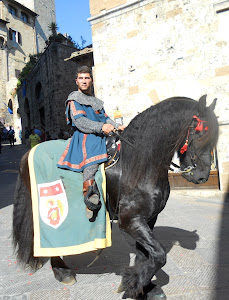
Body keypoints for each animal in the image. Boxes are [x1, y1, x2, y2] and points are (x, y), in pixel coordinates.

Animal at [13, 95, 218, 300]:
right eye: (200, 133)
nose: (202, 176)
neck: (139, 165)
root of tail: (27, 154)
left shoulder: (148, 219)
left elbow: (145, 255)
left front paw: (142, 286)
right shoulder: (130, 221)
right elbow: (159, 255)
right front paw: (133, 284)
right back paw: (62, 272)